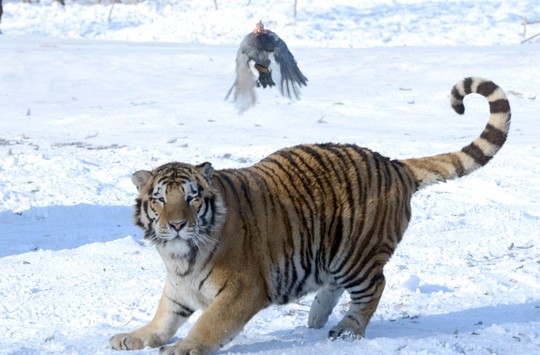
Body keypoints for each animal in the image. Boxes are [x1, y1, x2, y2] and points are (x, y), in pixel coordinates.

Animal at [108, 76, 510, 354]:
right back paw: (315, 318)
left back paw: (346, 329)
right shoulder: (179, 288)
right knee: (335, 284)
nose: (176, 225)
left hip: (356, 254)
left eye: (191, 199)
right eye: (159, 200)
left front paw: (183, 348)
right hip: (329, 251)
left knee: (375, 287)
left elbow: (210, 324)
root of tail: (394, 164)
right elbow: (162, 318)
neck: (181, 257)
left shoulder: (242, 289)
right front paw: (132, 337)